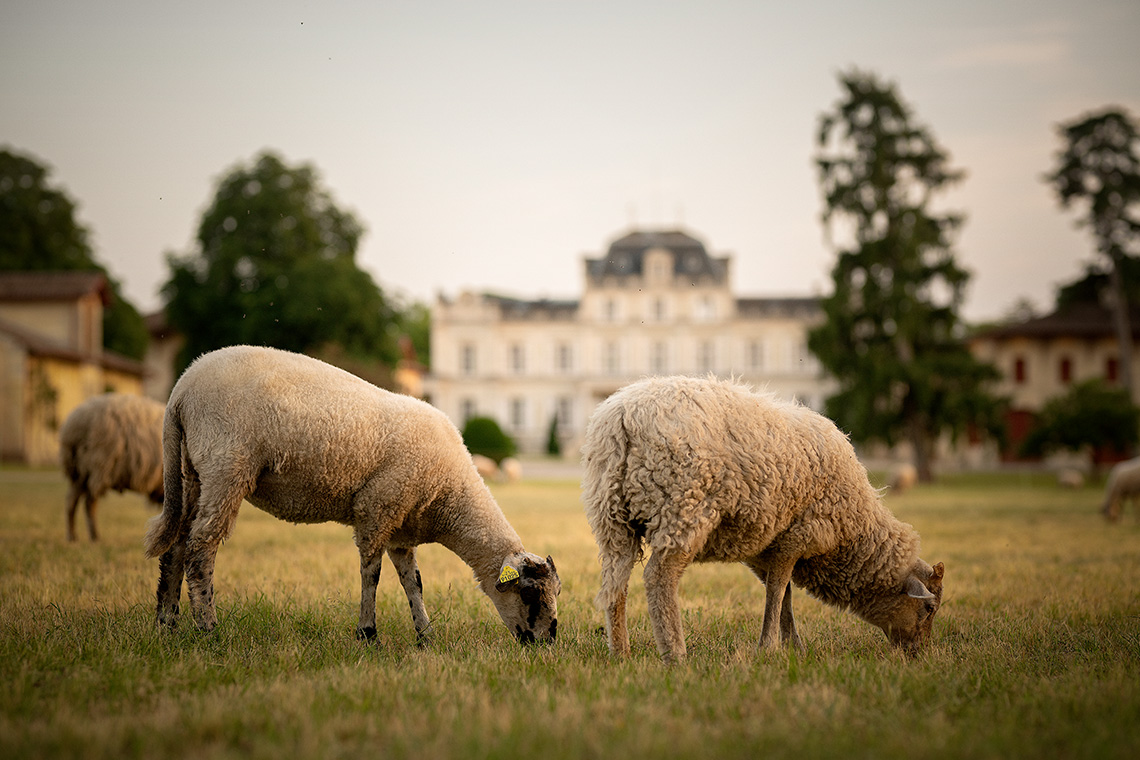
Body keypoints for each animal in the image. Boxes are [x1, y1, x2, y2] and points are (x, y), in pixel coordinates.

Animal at [59, 393, 165, 542]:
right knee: (88, 503)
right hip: (98, 467)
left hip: (81, 473)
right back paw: (91, 537)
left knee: (72, 501)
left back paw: (75, 536)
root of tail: (73, 426)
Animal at [143, 345, 560, 645]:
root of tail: (181, 391)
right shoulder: (378, 508)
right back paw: (207, 628)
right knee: (201, 547)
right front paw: (368, 634)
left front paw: (425, 635)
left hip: (194, 472)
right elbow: (371, 574)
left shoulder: (401, 525)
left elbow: (413, 582)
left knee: (177, 543)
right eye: (529, 596)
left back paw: (167, 624)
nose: (547, 642)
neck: (450, 497)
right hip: (227, 465)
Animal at [581, 375, 944, 663]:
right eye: (929, 609)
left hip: (612, 517)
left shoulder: (764, 547)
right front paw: (770, 647)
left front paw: (793, 645)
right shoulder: (798, 535)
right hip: (682, 507)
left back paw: (621, 653)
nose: (919, 655)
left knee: (615, 586)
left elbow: (783, 596)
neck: (855, 533)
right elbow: (778, 590)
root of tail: (622, 417)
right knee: (659, 578)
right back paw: (675, 654)